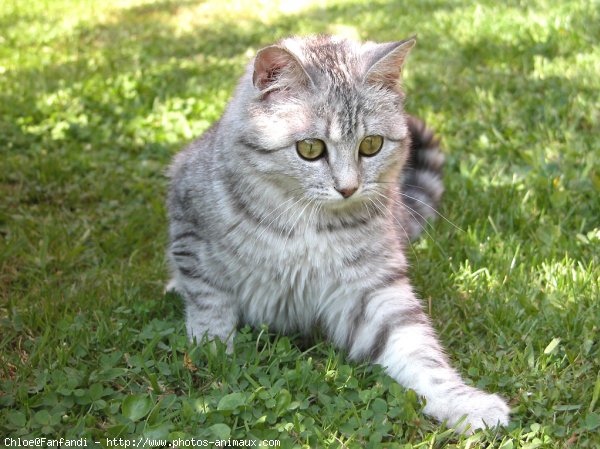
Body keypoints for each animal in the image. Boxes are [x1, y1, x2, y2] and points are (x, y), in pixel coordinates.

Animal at [165, 33, 510, 432]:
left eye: (371, 145)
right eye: (310, 148)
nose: (348, 188)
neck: (306, 223)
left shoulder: (372, 289)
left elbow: (418, 350)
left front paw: (462, 401)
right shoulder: (190, 232)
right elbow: (210, 306)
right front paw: (214, 355)